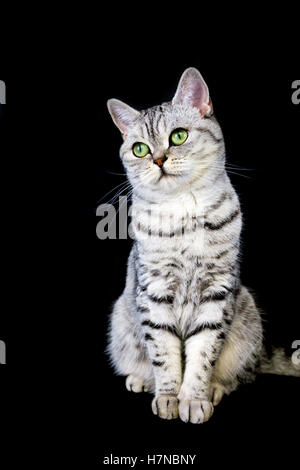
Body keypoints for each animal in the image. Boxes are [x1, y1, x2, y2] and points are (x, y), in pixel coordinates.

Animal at [105, 66, 300, 422]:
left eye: (178, 136)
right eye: (140, 149)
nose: (158, 159)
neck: (183, 214)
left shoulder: (217, 291)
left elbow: (201, 355)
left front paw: (194, 399)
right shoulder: (154, 291)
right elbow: (164, 354)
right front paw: (168, 397)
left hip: (247, 317)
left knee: (241, 375)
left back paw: (216, 388)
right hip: (121, 320)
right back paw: (141, 379)